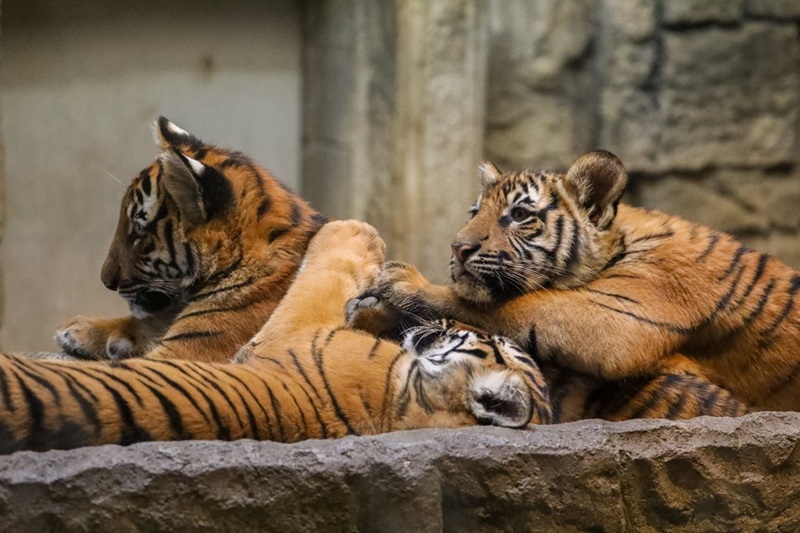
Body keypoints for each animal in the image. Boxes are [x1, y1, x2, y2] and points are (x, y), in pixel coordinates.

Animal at [0, 221, 559, 454]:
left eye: (488, 340)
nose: (438, 325)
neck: (410, 400)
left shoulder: (289, 333)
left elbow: (325, 274)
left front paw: (355, 230)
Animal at [352, 150, 799, 411]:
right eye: (474, 212)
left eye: (519, 215)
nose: (458, 247)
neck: (618, 240)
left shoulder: (619, 321)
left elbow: (504, 305)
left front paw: (401, 281)